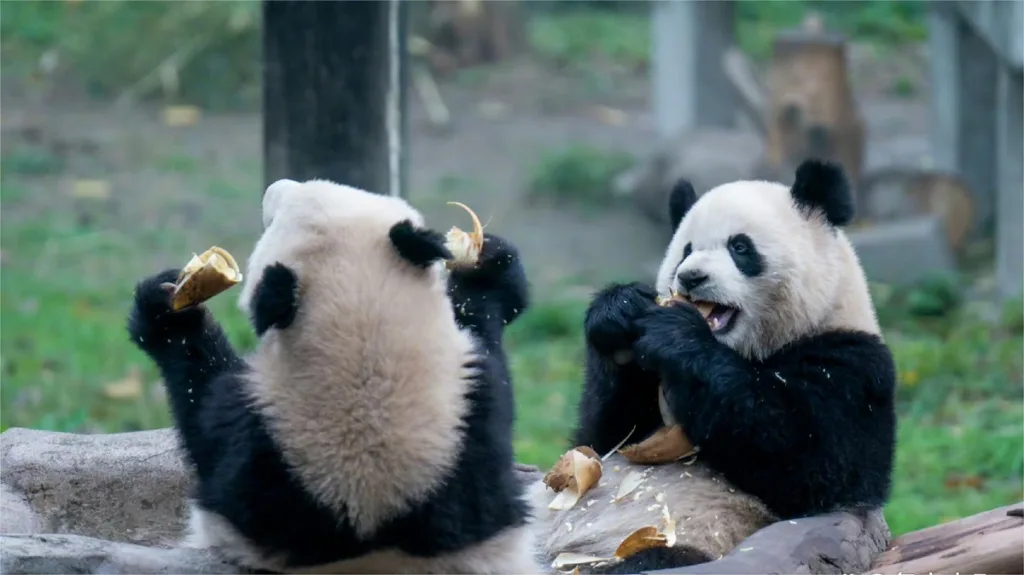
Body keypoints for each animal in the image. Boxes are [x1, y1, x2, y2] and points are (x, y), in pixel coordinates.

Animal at [127, 178, 539, 574]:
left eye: (278, 218)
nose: (273, 188)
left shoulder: (251, 444)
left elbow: (202, 412)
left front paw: (168, 314)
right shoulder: (475, 422)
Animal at [529, 159, 898, 573]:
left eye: (740, 247)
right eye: (686, 250)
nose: (691, 277)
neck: (752, 349)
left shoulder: (852, 365)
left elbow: (810, 463)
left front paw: (675, 333)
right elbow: (602, 437)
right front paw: (617, 310)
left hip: (670, 544)